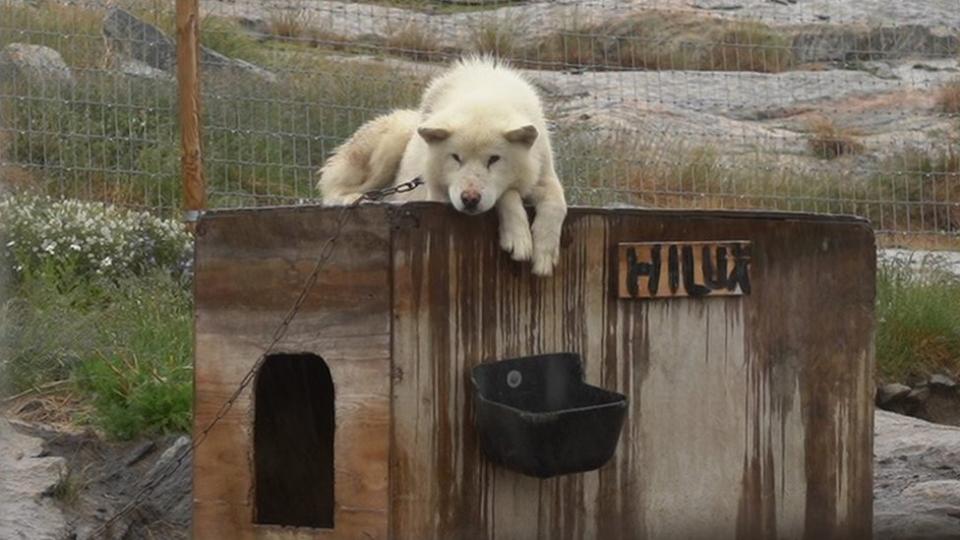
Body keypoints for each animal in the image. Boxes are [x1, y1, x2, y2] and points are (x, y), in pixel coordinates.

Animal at [318, 54, 568, 276]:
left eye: (494, 159)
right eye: (455, 157)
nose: (469, 199)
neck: (484, 93)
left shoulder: (544, 174)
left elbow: (558, 203)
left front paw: (545, 255)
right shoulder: (439, 196)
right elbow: (508, 194)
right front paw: (519, 238)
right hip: (389, 145)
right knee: (333, 189)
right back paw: (355, 199)